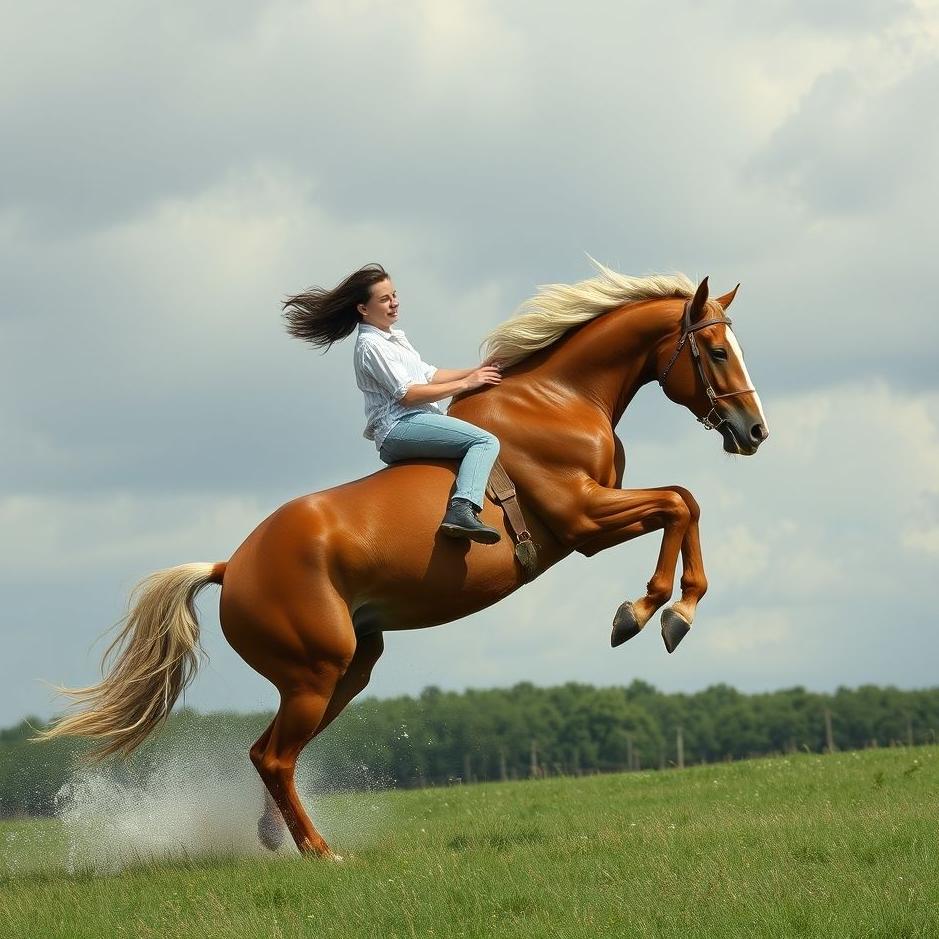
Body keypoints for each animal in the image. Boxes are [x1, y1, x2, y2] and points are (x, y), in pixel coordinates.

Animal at [39, 264, 768, 858]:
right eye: (715, 350)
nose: (755, 431)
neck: (559, 400)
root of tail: (230, 567)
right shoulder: (583, 518)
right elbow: (679, 503)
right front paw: (648, 612)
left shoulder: (598, 511)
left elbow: (685, 502)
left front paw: (670, 611)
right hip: (316, 671)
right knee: (274, 755)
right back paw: (319, 850)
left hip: (346, 670)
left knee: (270, 751)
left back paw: (277, 837)